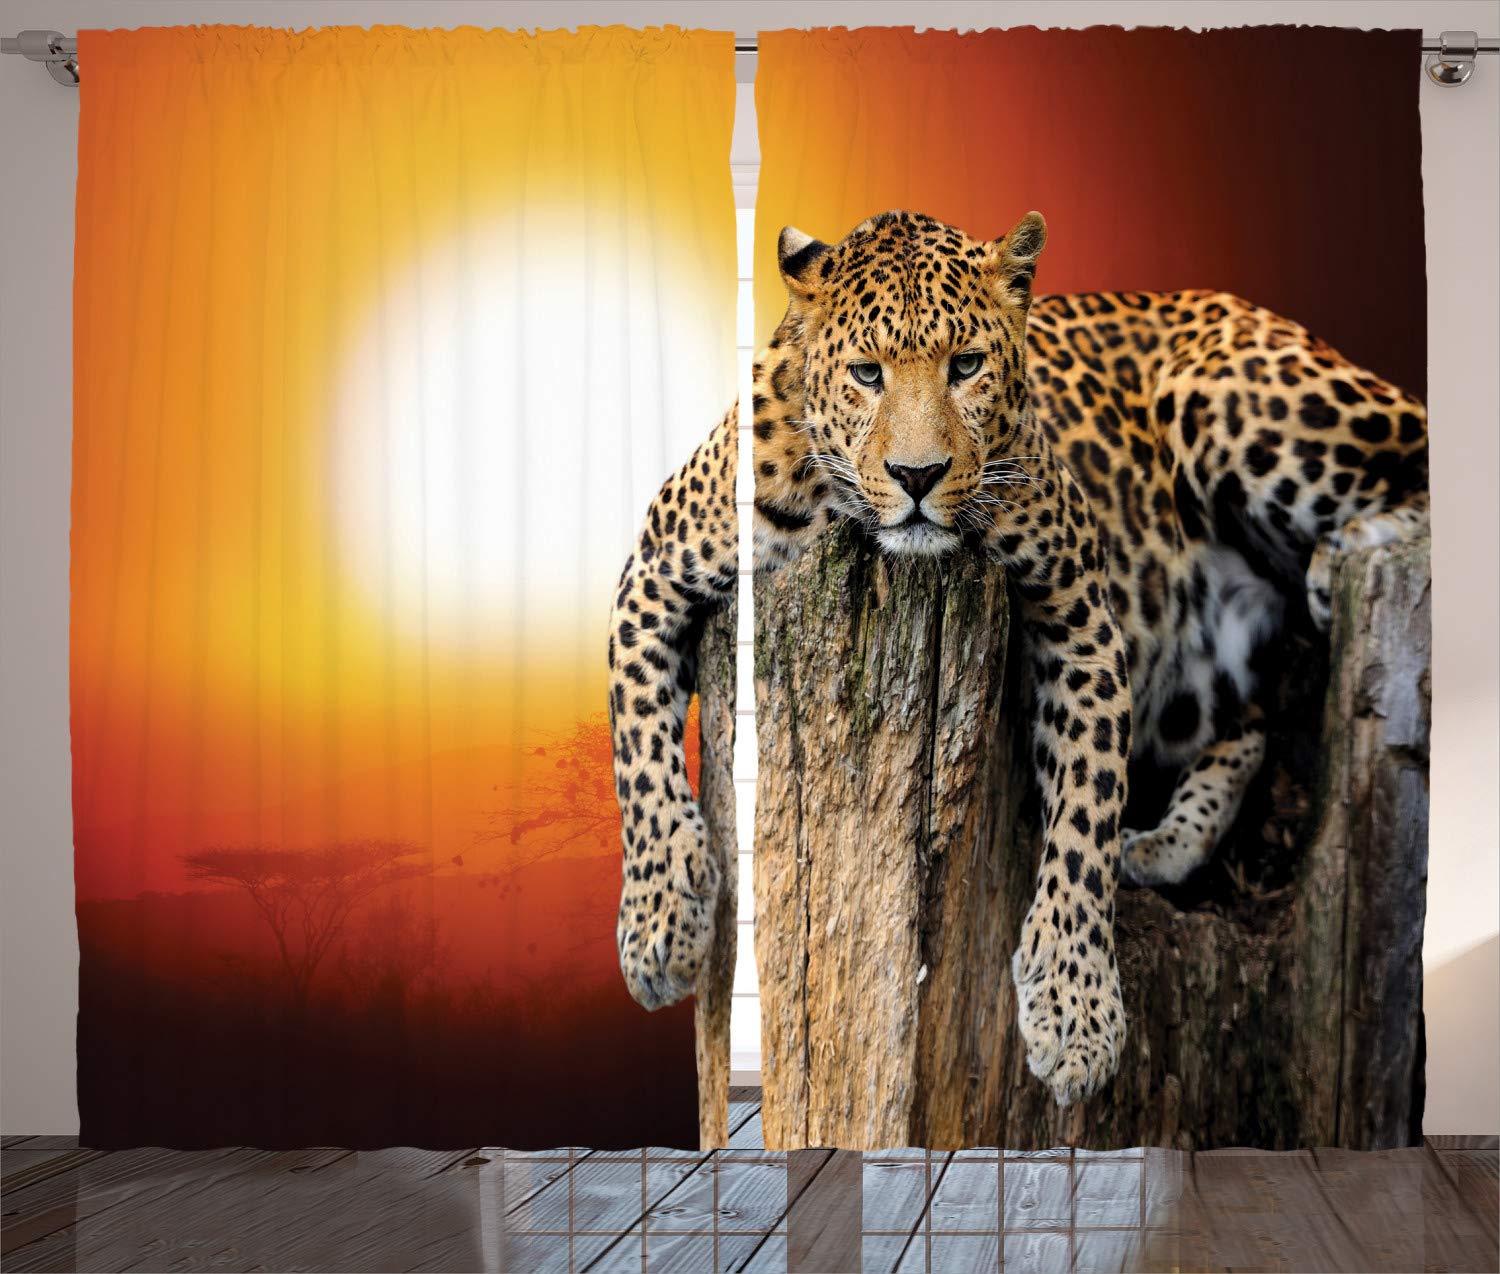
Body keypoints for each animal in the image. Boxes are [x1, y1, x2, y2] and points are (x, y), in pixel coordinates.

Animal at [607, 210, 1429, 1107]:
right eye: (866, 373)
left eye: (966, 365)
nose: (918, 475)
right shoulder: (652, 573)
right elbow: (638, 752)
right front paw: (660, 925)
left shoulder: (1080, 614)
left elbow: (1086, 812)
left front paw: (1075, 1011)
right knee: (1246, 726)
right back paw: (1166, 842)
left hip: (1239, 403)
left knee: (1421, 458)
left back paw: (1341, 557)